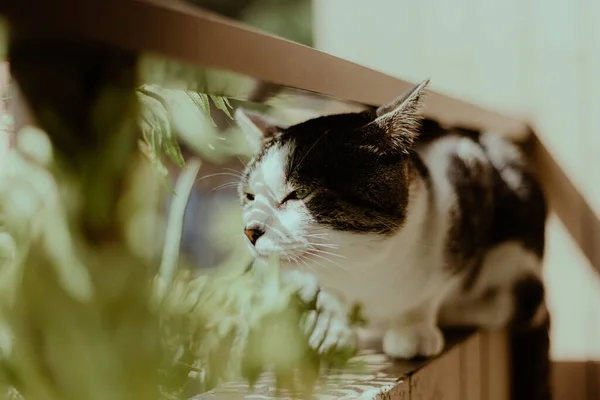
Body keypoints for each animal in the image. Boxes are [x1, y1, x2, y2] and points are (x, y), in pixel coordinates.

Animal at [233, 80, 548, 376]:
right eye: (250, 196)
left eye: (298, 194)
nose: (250, 231)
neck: (363, 269)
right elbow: (330, 297)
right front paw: (332, 330)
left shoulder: (465, 172)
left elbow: (432, 293)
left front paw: (413, 328)